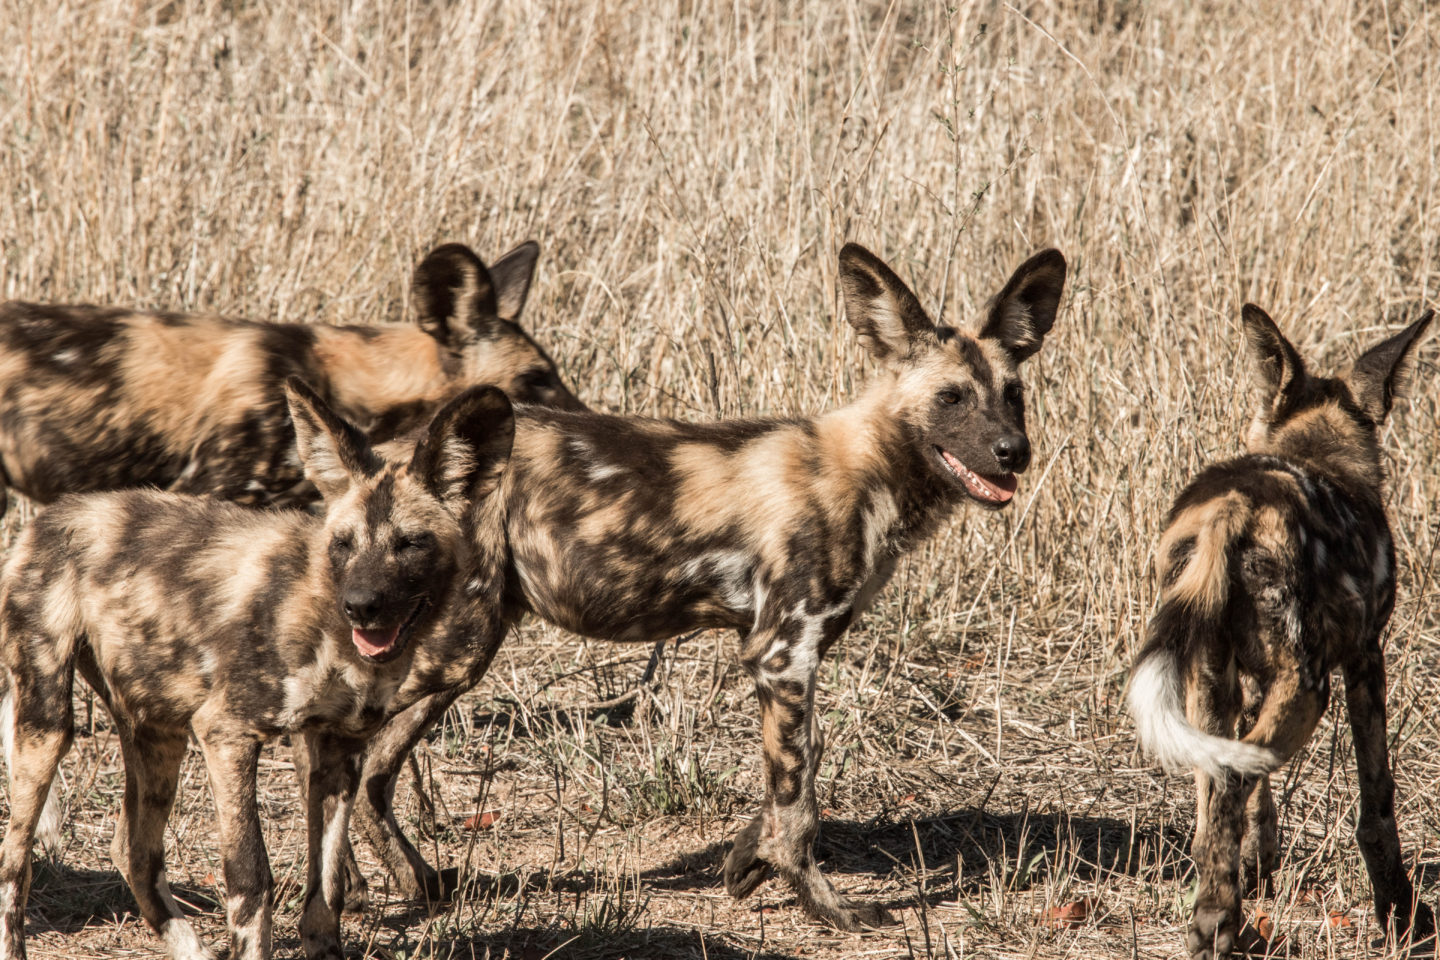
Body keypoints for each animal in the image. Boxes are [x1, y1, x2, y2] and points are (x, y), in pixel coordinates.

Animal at [0, 377, 515, 960]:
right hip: (48, 726)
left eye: (411, 543)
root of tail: (48, 516)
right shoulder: (227, 734)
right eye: (343, 544)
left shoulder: (339, 751)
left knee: (134, 852)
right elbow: (252, 879)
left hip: (158, 731)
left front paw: (326, 948)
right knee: (15, 863)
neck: (327, 625)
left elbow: (327, 887)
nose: (361, 605)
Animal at [306, 241, 1071, 932]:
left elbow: (796, 774)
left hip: (453, 651)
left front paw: (746, 862)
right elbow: (800, 805)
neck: (868, 470)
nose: (1014, 452)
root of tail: (387, 460)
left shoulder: (787, 658)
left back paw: (397, 884)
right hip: (452, 647)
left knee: (368, 769)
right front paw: (824, 906)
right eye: (951, 398)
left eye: (1014, 395)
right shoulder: (783, 655)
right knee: (345, 752)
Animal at [1128, 306, 1434, 960]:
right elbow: (1378, 805)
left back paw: (1223, 923)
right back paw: (1220, 930)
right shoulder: (1366, 660)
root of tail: (1232, 509)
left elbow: (1255, 810)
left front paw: (1261, 871)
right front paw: (1402, 915)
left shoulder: (1237, 684)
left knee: (1213, 808)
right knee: (1233, 784)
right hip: (1309, 688)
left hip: (1207, 682)